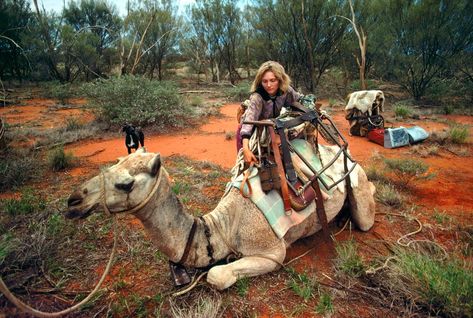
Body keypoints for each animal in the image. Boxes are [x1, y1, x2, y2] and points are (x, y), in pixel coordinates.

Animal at [66, 148, 374, 290]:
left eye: (126, 184)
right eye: (115, 162)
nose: (74, 201)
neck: (224, 227)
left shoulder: (273, 252)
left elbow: (216, 274)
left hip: (357, 181)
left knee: (365, 211)